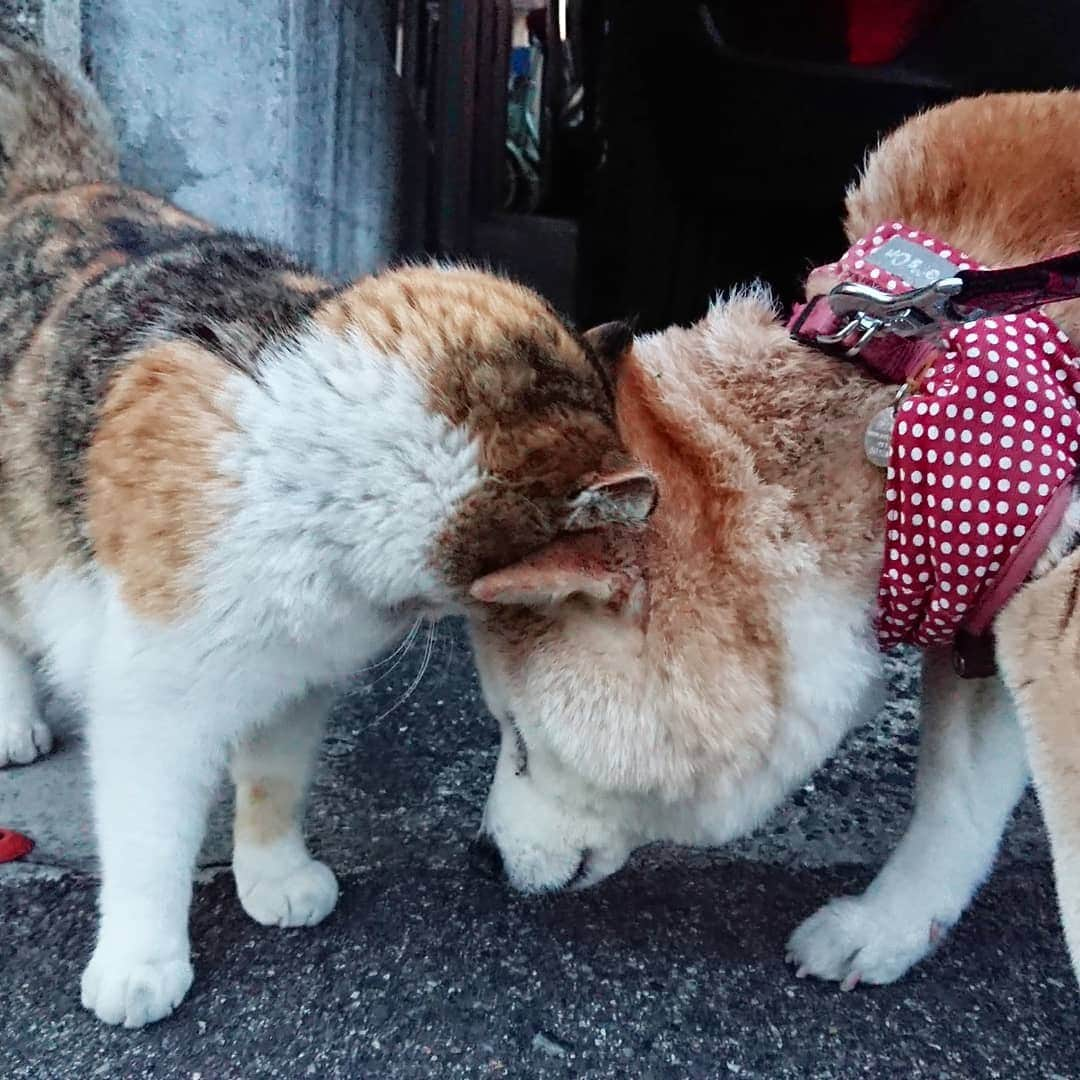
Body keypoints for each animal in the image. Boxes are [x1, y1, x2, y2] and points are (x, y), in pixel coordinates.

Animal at [0, 38, 656, 1023]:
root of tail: (53, 184)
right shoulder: (153, 698)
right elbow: (150, 834)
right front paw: (142, 962)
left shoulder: (296, 676)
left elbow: (274, 779)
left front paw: (275, 877)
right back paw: (13, 723)